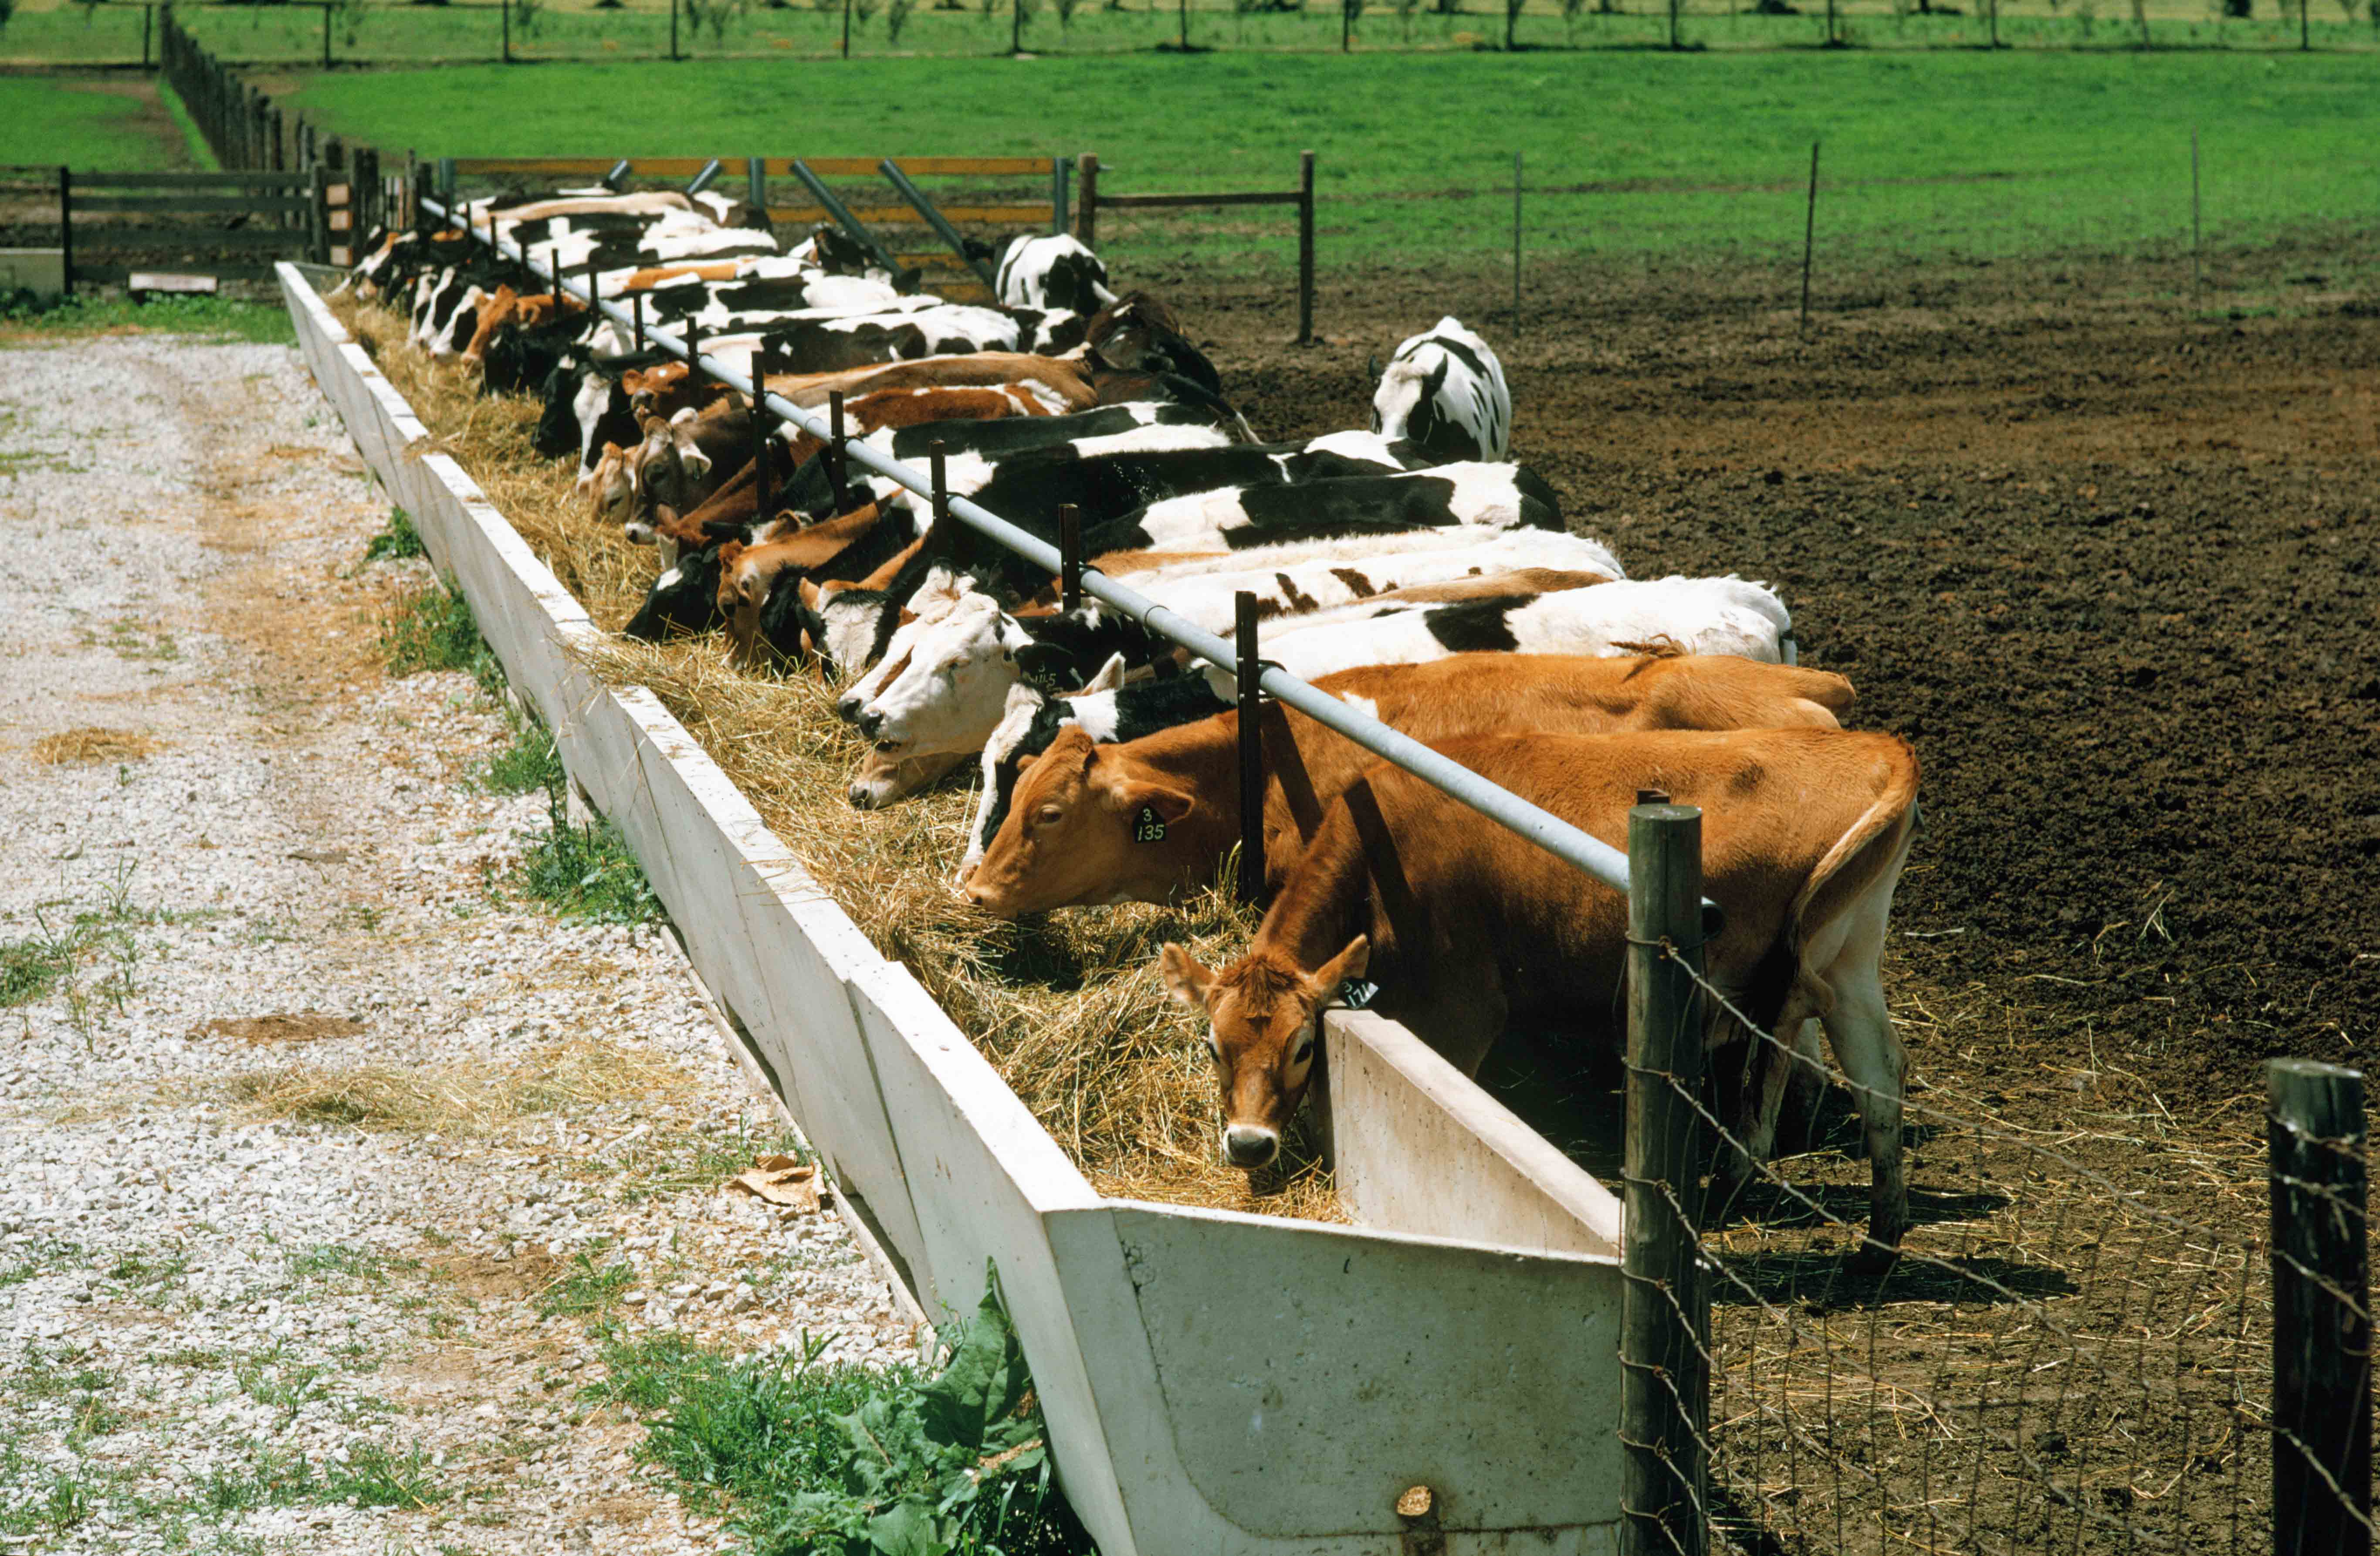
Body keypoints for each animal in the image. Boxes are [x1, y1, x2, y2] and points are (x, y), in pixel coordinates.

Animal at [1161, 728, 1923, 1256]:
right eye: (1212, 1046)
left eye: (1300, 1047)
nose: (1248, 1144)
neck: (1381, 851)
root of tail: (1879, 744)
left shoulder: (1462, 1008)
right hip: (1852, 955)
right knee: (1878, 1071)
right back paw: (1878, 1238)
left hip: (1778, 976)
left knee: (1777, 1070)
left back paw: (1732, 1191)